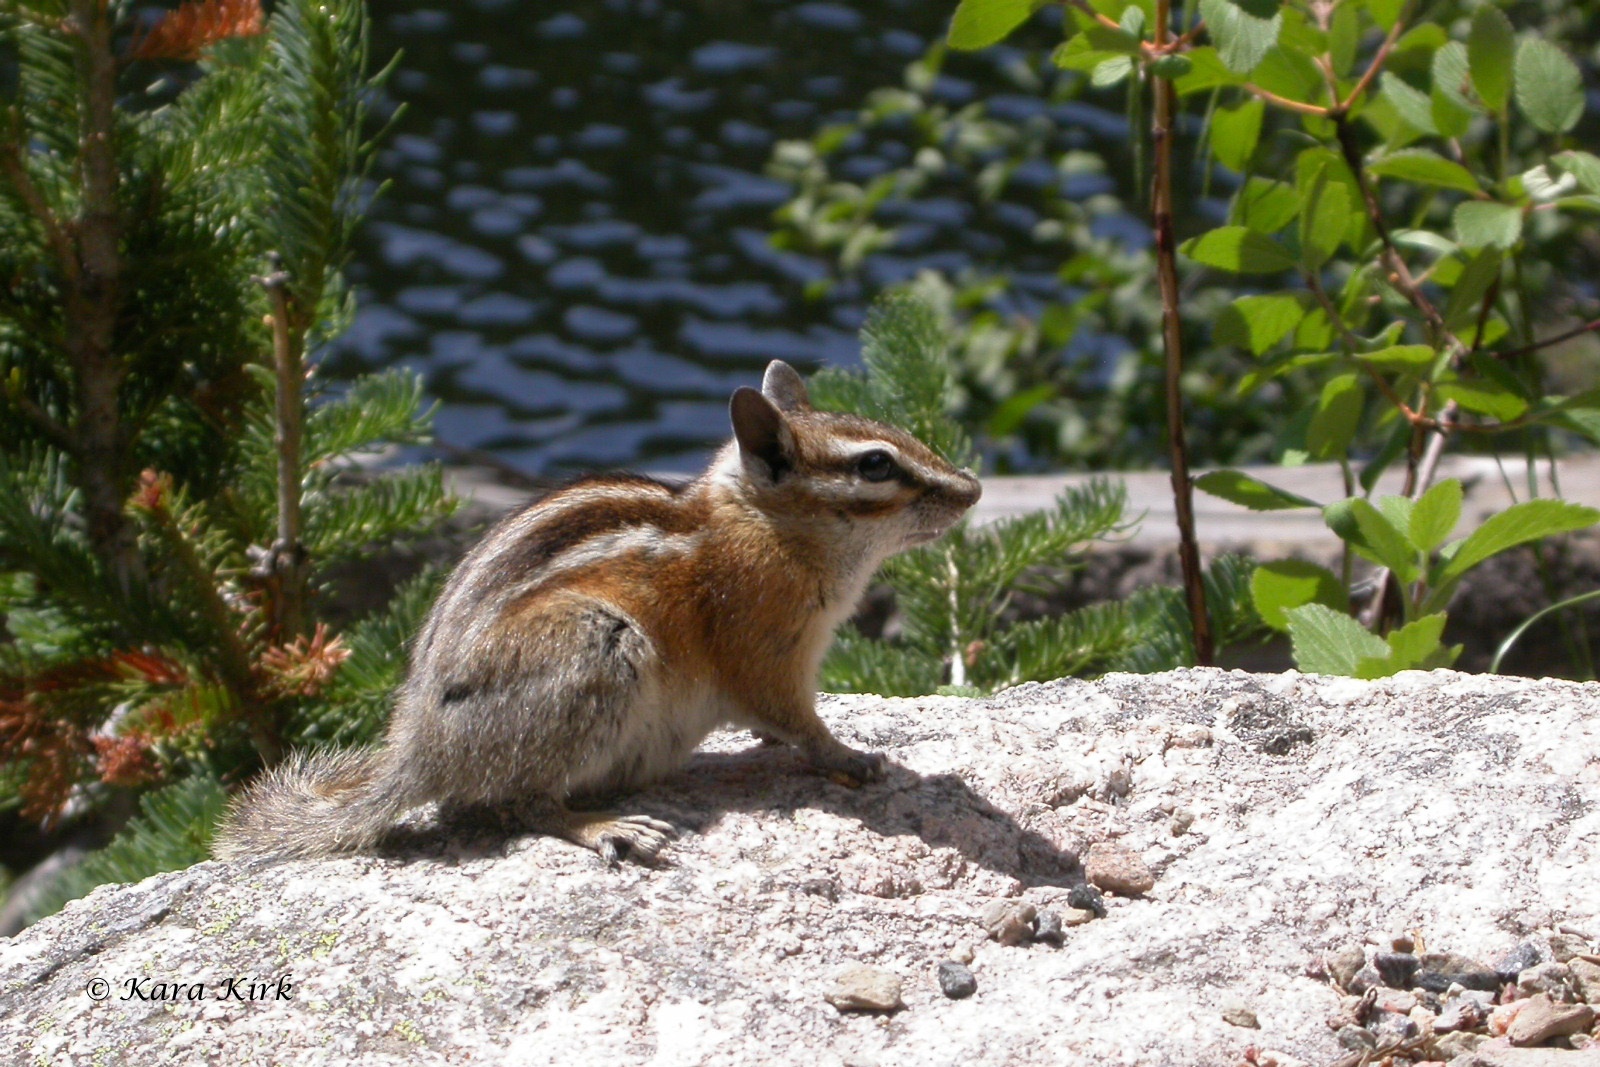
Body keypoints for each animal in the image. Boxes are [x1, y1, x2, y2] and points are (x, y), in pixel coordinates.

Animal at [213, 360, 981, 865]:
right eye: (875, 465)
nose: (973, 488)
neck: (762, 526)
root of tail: (419, 751)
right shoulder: (761, 645)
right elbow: (797, 720)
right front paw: (850, 755)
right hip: (596, 645)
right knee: (511, 803)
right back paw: (607, 827)